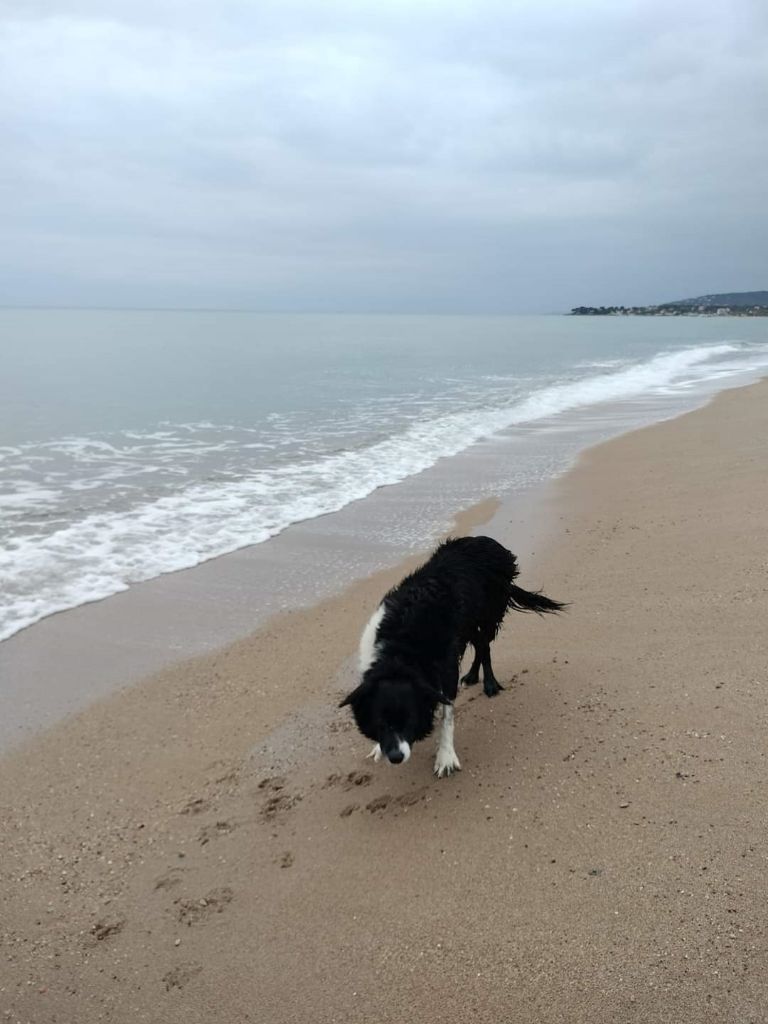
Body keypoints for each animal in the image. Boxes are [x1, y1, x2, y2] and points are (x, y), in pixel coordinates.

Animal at [342, 536, 565, 774]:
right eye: (380, 723)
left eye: (410, 720)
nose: (395, 757)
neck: (400, 651)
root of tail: (488, 542)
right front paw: (377, 747)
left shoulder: (446, 668)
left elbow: (447, 715)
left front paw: (445, 757)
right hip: (468, 626)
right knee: (479, 645)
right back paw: (472, 676)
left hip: (488, 614)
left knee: (485, 646)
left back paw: (490, 684)